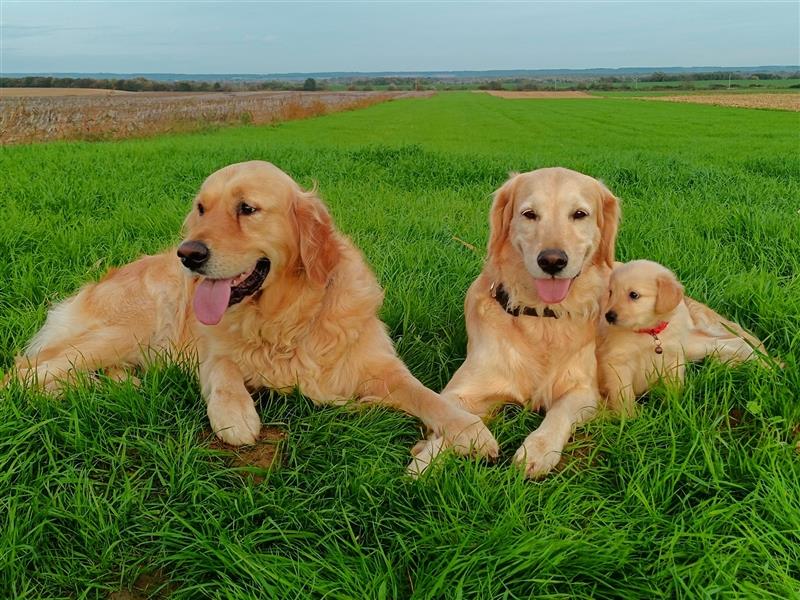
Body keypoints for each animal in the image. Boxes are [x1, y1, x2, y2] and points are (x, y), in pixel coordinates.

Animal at [10, 161, 500, 460]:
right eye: (201, 207)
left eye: (247, 208)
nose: (188, 254)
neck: (285, 318)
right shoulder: (211, 352)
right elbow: (225, 371)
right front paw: (235, 416)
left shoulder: (378, 364)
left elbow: (426, 394)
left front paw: (468, 429)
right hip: (126, 330)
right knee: (23, 373)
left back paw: (115, 385)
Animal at [410, 168, 620, 478]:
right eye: (529, 214)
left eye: (579, 214)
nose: (552, 261)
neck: (541, 316)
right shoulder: (459, 391)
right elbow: (454, 417)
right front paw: (426, 460)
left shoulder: (583, 390)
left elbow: (559, 411)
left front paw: (538, 450)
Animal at [596, 260, 772, 414]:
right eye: (611, 293)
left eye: (634, 295)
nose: (609, 316)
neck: (650, 333)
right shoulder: (617, 363)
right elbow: (623, 393)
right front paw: (629, 418)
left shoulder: (672, 357)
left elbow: (674, 385)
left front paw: (673, 408)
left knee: (736, 341)